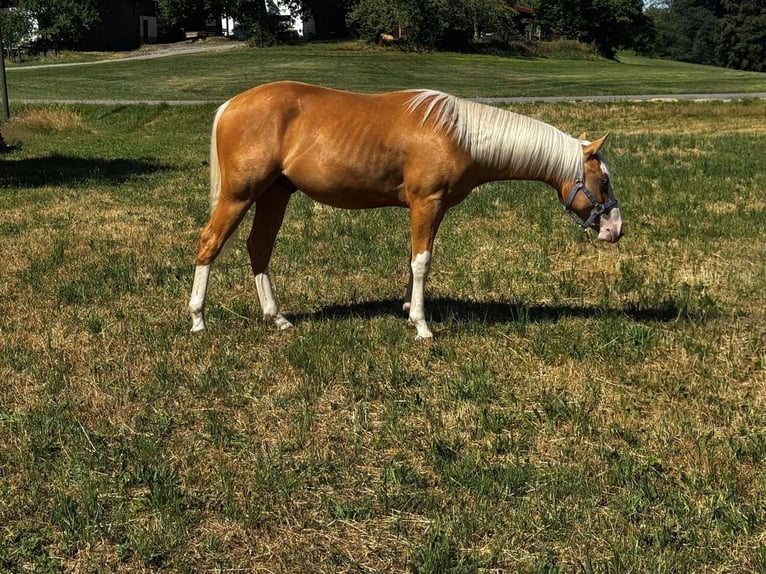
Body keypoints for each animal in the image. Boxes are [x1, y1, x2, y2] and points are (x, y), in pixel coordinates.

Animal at [188, 81, 623, 339]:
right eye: (603, 180)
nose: (615, 229)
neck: (459, 134)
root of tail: (231, 105)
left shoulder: (432, 208)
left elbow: (415, 257)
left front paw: (407, 307)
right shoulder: (426, 202)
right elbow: (422, 262)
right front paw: (421, 325)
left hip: (275, 194)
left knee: (259, 247)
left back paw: (276, 317)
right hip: (239, 195)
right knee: (209, 244)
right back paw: (198, 320)